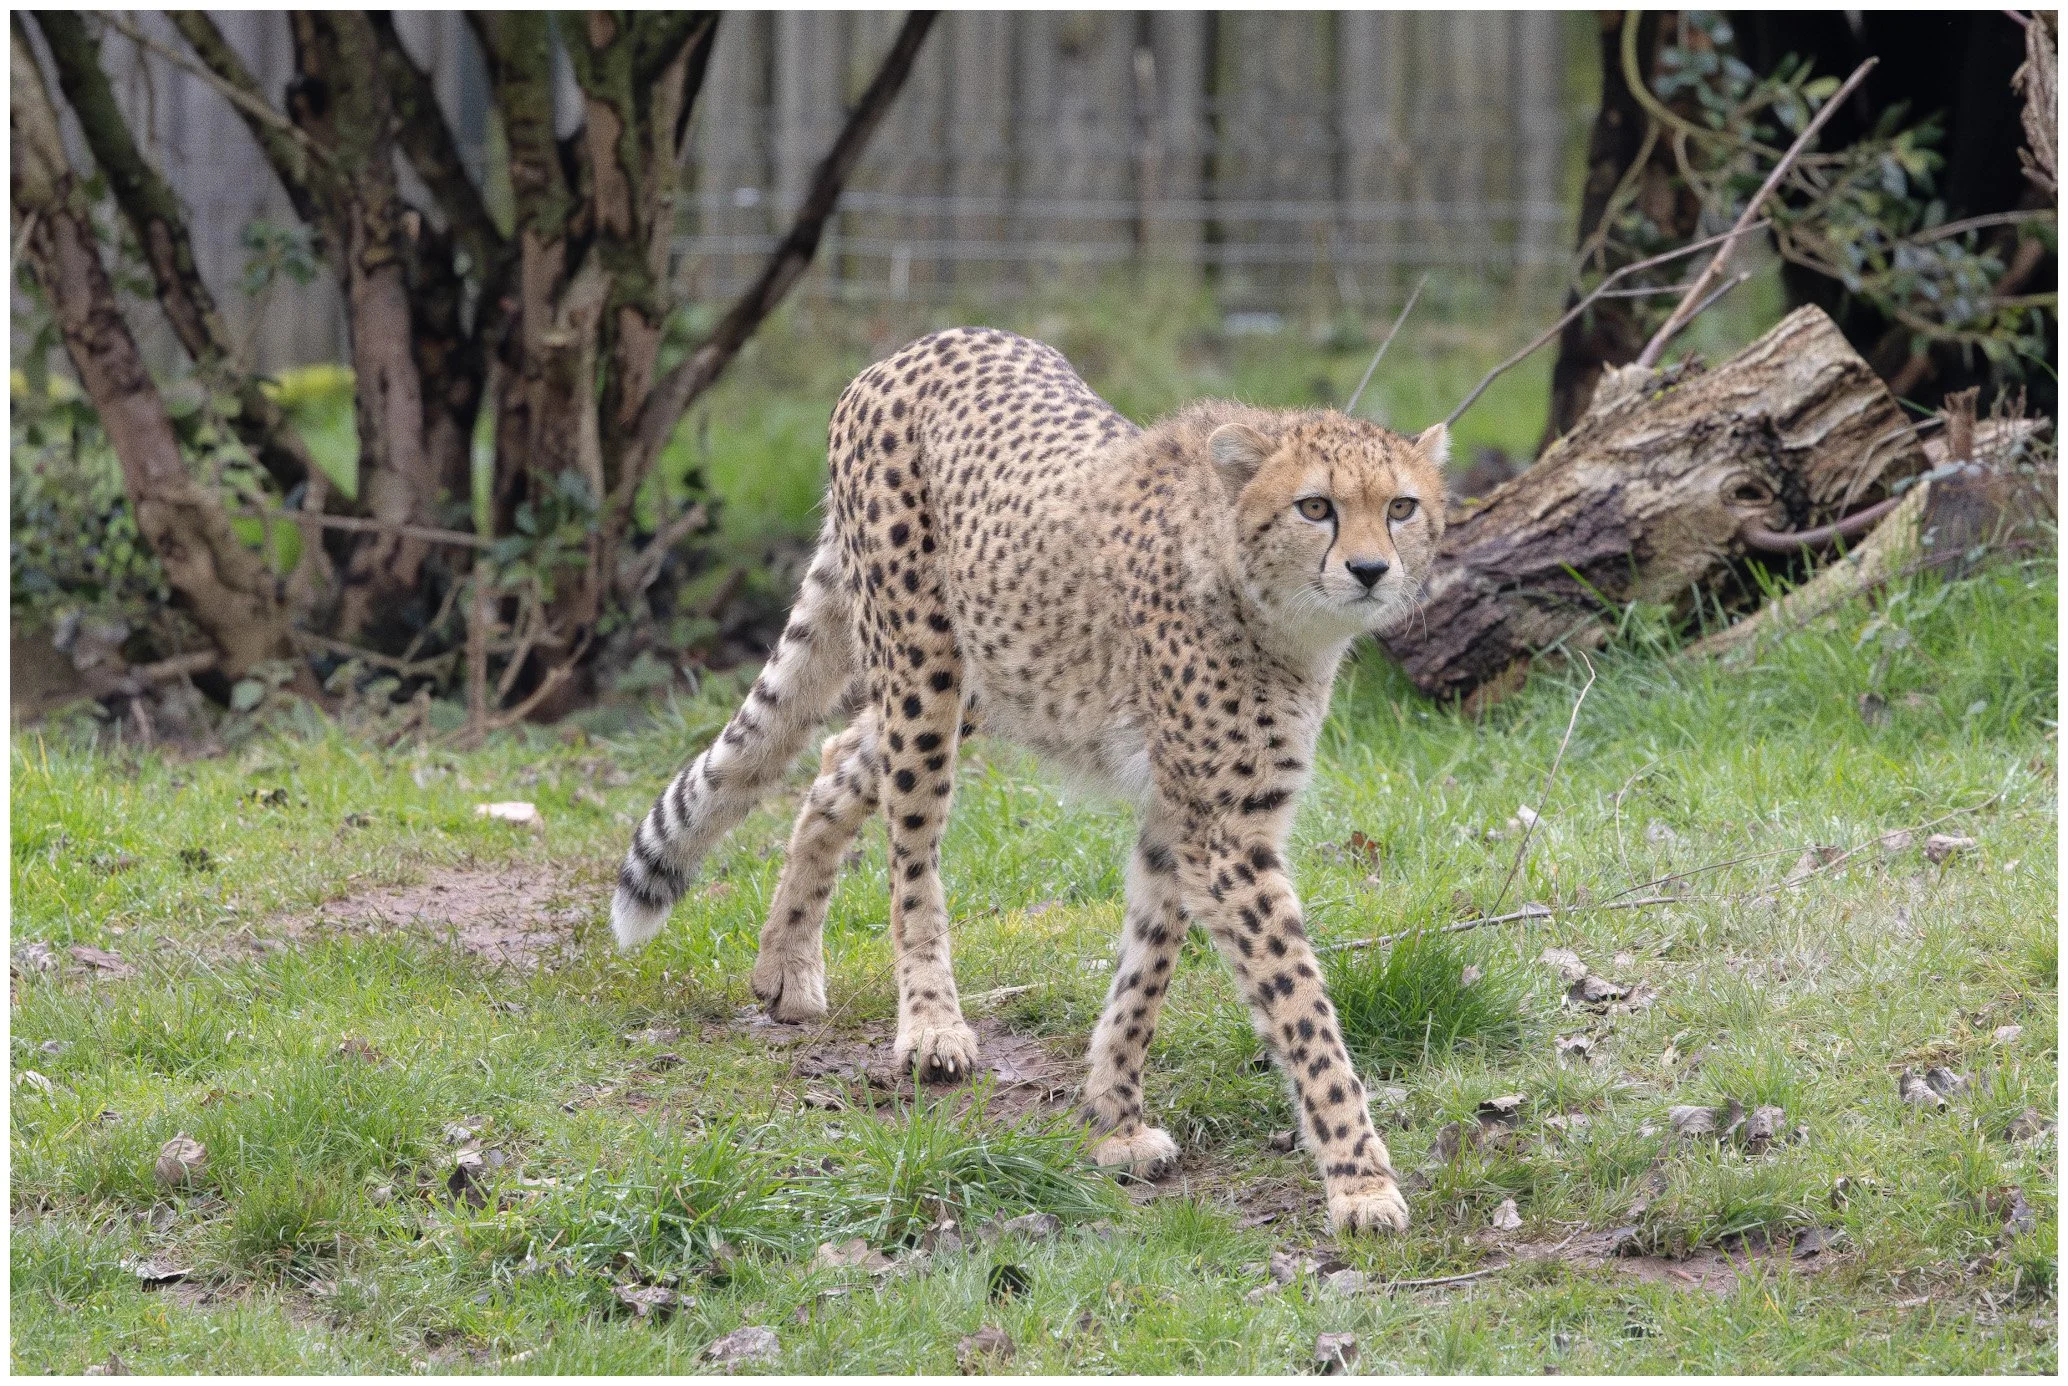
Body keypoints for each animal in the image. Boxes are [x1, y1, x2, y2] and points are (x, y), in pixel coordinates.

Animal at [609, 327, 1447, 1234]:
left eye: (1402, 508)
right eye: (1315, 507)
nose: (1370, 570)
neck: (1271, 605)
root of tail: (919, 345)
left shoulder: (1178, 816)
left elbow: (1146, 964)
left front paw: (1114, 1118)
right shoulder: (1225, 833)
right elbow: (1302, 1009)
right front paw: (1360, 1179)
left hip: (988, 670)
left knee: (835, 761)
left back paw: (787, 966)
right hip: (924, 669)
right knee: (911, 852)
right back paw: (930, 1025)